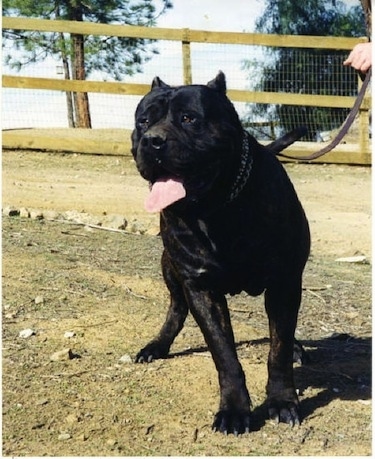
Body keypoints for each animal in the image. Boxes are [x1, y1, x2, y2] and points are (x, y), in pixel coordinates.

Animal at [131, 71, 310, 434]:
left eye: (189, 119)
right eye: (143, 122)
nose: (153, 141)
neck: (217, 210)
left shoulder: (284, 283)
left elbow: (279, 348)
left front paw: (282, 401)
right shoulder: (202, 288)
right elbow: (224, 355)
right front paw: (234, 409)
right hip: (170, 268)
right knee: (176, 308)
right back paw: (157, 345)